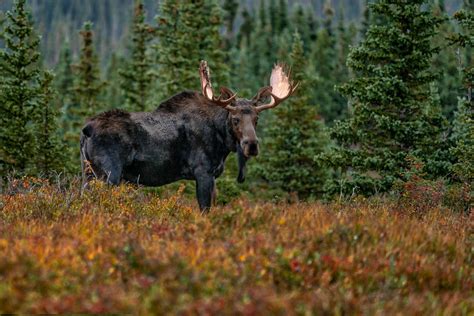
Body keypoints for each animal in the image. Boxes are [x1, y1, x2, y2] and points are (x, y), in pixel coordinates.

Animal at [80, 60, 298, 211]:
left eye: (256, 119)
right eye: (235, 119)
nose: (251, 145)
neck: (222, 143)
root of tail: (86, 130)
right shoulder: (202, 172)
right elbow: (204, 210)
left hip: (88, 171)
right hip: (108, 173)